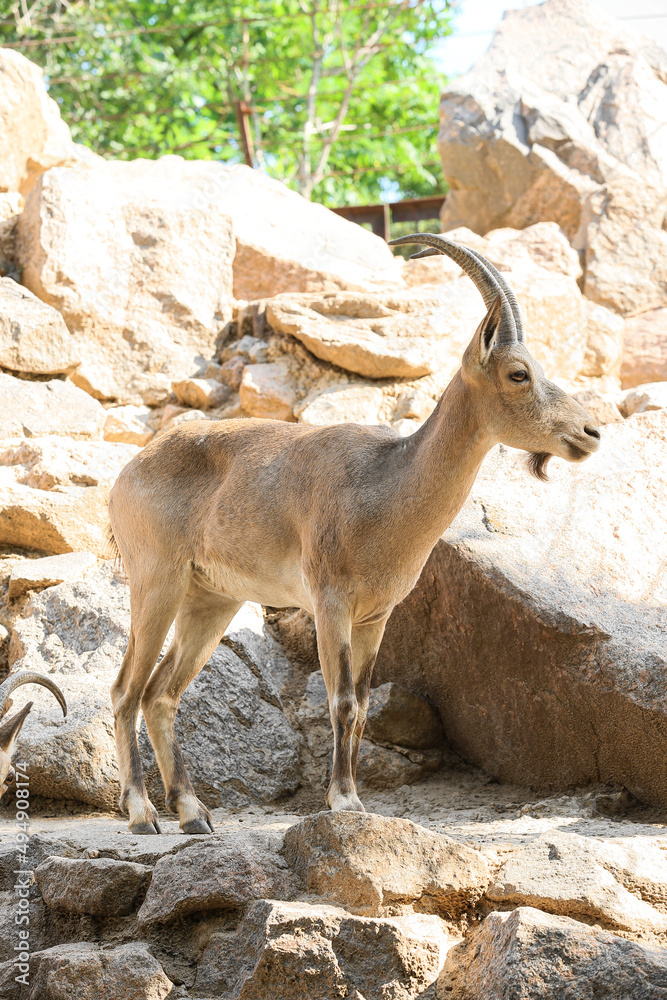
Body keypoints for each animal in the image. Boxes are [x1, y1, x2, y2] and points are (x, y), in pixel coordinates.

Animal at [108, 234, 600, 836]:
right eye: (518, 373)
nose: (590, 433)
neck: (385, 489)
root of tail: (129, 471)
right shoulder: (330, 603)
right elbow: (340, 701)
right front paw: (344, 801)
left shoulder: (375, 616)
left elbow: (362, 706)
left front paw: (354, 799)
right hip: (156, 582)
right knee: (127, 689)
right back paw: (141, 813)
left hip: (210, 600)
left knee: (161, 693)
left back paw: (193, 812)